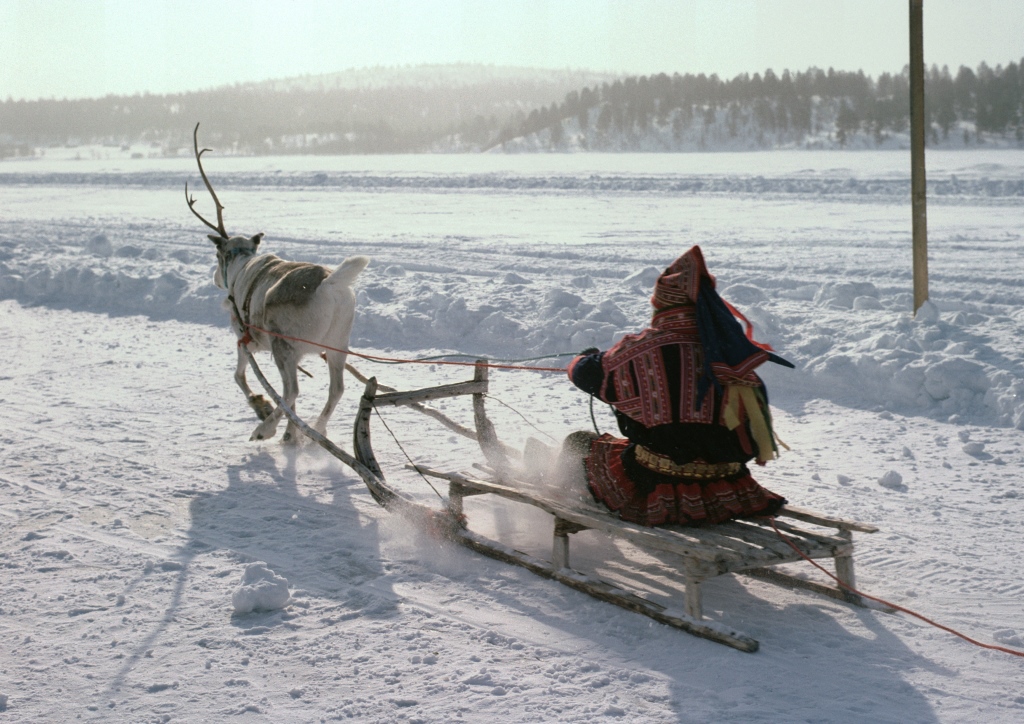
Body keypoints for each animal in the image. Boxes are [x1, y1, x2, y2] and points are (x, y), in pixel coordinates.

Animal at [186, 122, 369, 444]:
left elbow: (240, 376)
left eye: (217, 255)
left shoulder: (243, 336)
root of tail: (328, 283)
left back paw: (265, 429)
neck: (241, 262)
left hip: (284, 344)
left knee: (291, 390)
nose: (215, 278)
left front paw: (261, 406)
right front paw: (290, 430)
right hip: (337, 344)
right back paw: (313, 431)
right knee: (335, 389)